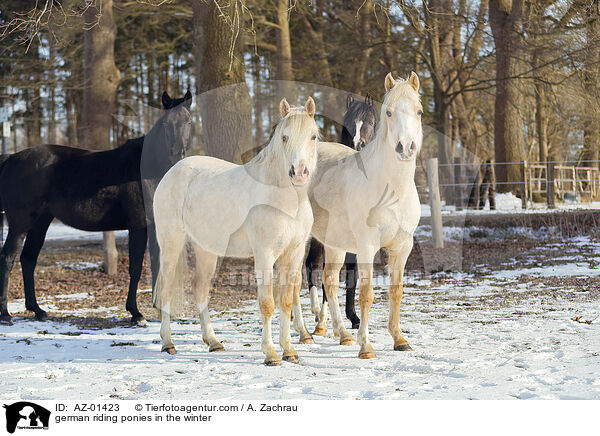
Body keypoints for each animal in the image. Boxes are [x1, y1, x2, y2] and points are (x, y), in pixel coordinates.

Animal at [0, 91, 192, 324]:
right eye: (166, 123)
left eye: (188, 121)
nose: (177, 155)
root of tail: (11, 158)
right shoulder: (138, 225)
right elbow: (136, 267)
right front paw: (136, 313)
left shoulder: (155, 226)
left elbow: (159, 266)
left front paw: (162, 311)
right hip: (20, 225)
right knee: (7, 259)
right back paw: (5, 313)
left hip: (40, 223)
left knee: (28, 259)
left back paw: (38, 310)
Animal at [152, 97, 318, 366]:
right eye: (284, 137)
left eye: (313, 136)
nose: (299, 172)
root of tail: (173, 172)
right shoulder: (264, 254)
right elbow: (267, 303)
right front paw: (271, 354)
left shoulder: (293, 255)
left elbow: (286, 301)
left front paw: (289, 351)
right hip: (171, 243)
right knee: (166, 289)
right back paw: (168, 343)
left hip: (206, 250)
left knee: (200, 290)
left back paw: (213, 342)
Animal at [304, 93, 376, 330]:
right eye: (349, 122)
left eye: (371, 121)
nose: (359, 144)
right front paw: (326, 319)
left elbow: (352, 273)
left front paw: (353, 317)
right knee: (309, 266)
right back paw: (315, 314)